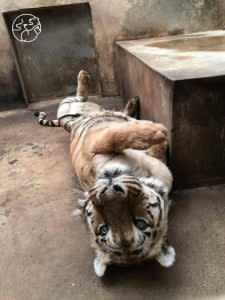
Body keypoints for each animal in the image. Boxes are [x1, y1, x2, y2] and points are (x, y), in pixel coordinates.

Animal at [34, 69, 176, 276]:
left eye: (140, 223)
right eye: (104, 228)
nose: (109, 191)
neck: (139, 169)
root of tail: (68, 124)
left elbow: (128, 136)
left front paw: (155, 134)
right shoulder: (94, 142)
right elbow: (118, 135)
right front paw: (158, 131)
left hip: (74, 108)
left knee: (91, 102)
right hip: (68, 108)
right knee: (82, 97)